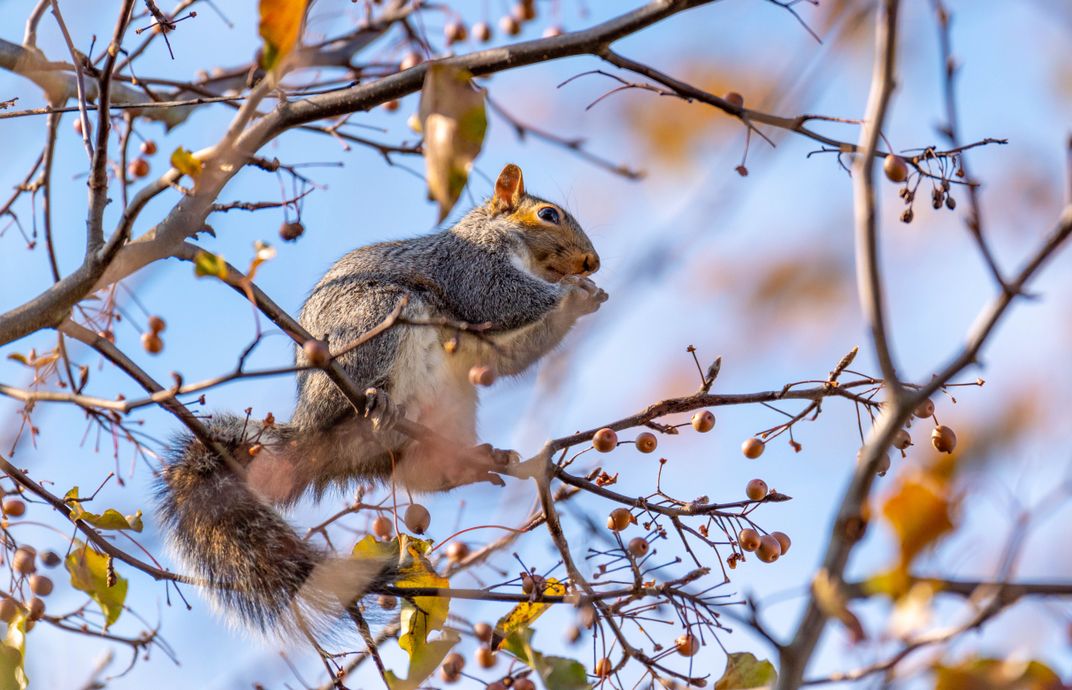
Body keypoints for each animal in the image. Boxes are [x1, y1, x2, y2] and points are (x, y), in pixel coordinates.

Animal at [157, 163, 607, 636]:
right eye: (548, 214)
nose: (593, 262)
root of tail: (313, 430)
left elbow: (507, 355)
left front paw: (585, 298)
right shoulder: (470, 266)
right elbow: (499, 298)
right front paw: (573, 292)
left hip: (450, 405)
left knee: (421, 475)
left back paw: (473, 461)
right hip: (375, 318)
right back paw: (380, 403)